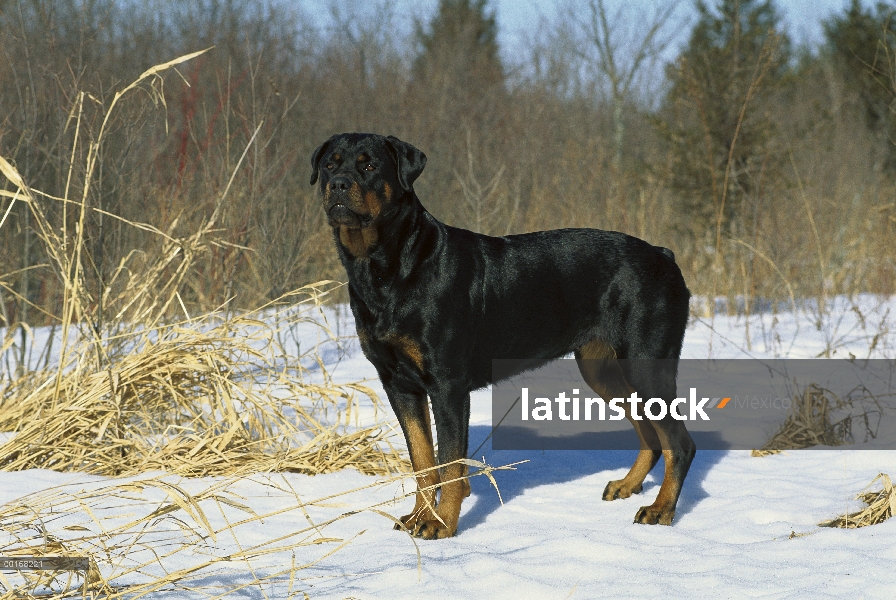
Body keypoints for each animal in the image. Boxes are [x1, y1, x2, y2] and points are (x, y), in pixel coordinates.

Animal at [312, 132, 696, 540]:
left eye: (370, 165)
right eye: (330, 165)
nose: (338, 184)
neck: (389, 265)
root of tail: (665, 255)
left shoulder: (447, 384)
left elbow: (450, 465)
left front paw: (441, 525)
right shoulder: (398, 383)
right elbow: (423, 461)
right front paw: (420, 517)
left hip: (645, 364)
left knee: (680, 443)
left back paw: (660, 509)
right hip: (603, 369)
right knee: (652, 435)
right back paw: (627, 485)